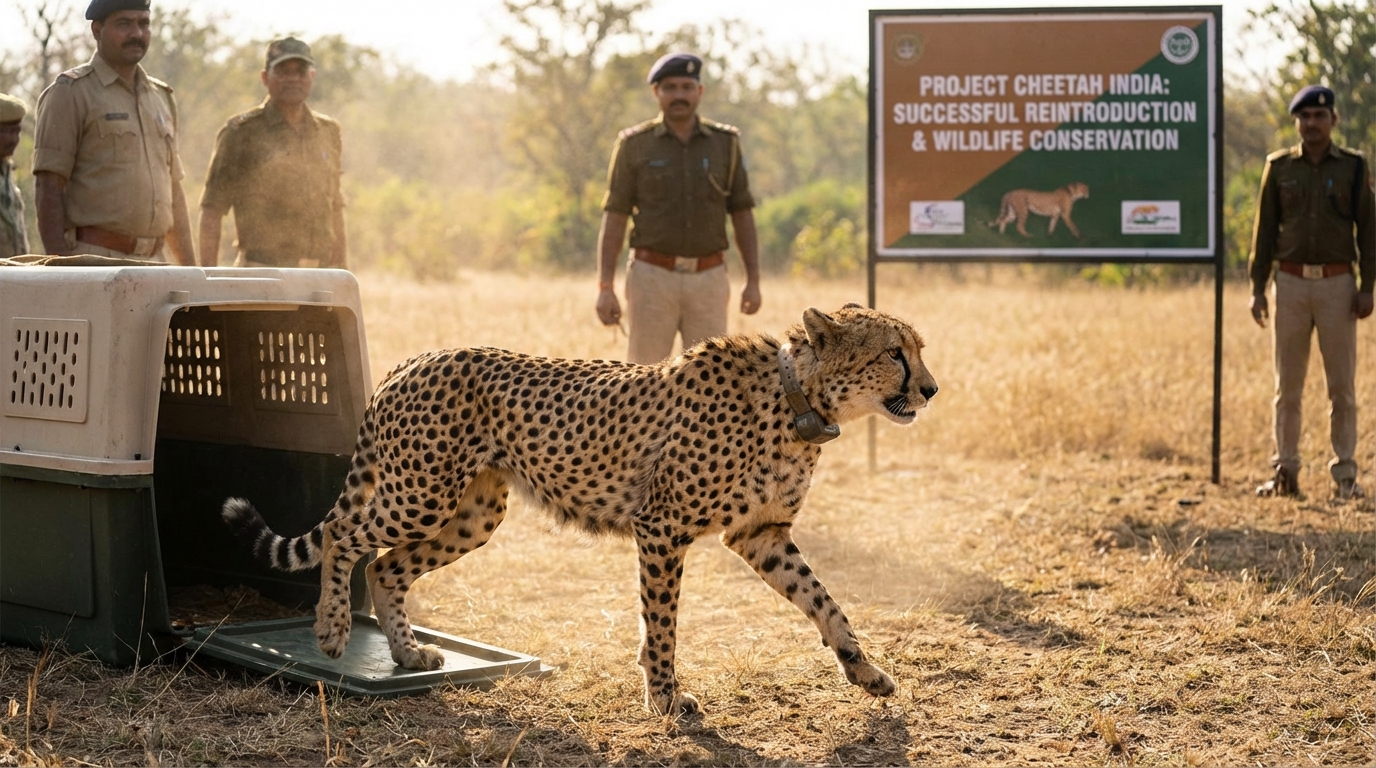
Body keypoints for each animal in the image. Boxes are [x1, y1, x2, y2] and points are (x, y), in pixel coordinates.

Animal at [222, 304, 938, 715]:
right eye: (893, 353)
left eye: (918, 349)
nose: (931, 389)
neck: (798, 401)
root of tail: (413, 359)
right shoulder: (663, 528)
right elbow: (662, 620)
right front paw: (665, 696)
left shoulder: (761, 534)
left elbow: (824, 600)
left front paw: (866, 671)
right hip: (421, 492)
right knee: (346, 533)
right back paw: (332, 631)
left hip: (473, 513)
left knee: (388, 565)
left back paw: (408, 655)